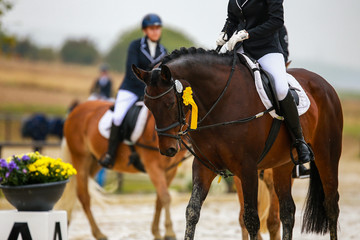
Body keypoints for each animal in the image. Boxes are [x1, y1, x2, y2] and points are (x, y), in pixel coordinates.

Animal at [57, 100, 186, 240]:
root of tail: (75, 110)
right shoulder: (153, 167)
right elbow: (165, 197)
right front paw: (169, 232)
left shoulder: (170, 170)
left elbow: (160, 200)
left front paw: (156, 232)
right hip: (81, 158)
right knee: (83, 196)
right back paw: (98, 233)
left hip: (94, 162)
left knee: (75, 192)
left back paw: (67, 223)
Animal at [133, 47, 344, 240]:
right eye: (147, 105)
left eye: (169, 103)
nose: (167, 149)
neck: (219, 103)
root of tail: (324, 83)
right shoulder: (204, 166)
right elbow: (192, 211)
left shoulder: (247, 168)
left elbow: (251, 219)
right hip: (282, 165)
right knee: (287, 212)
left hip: (326, 155)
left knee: (331, 205)